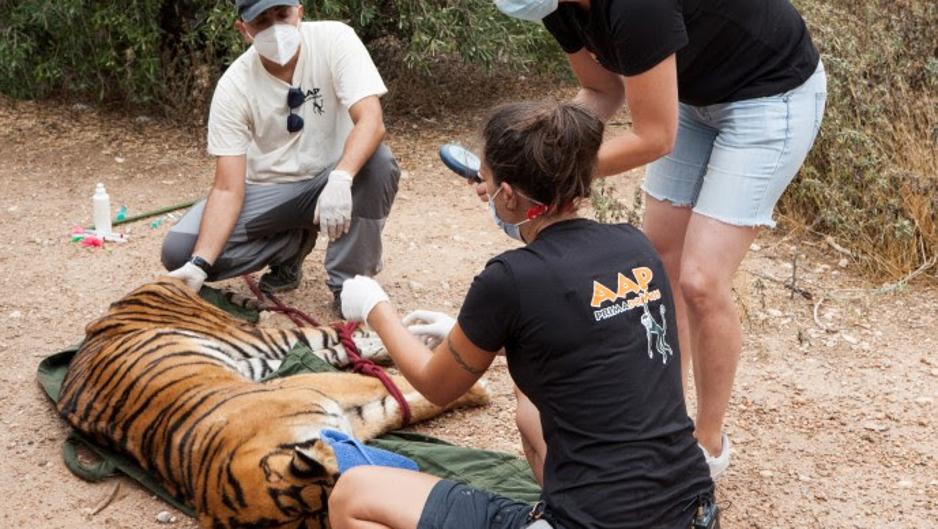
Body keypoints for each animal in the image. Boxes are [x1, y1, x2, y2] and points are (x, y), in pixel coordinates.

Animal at [56, 278, 490, 524]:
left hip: (257, 339)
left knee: (334, 332)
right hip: (267, 357)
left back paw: (414, 333)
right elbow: (401, 399)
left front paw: (478, 388)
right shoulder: (346, 415)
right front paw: (474, 389)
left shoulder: (321, 387)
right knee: (338, 343)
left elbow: (404, 388)